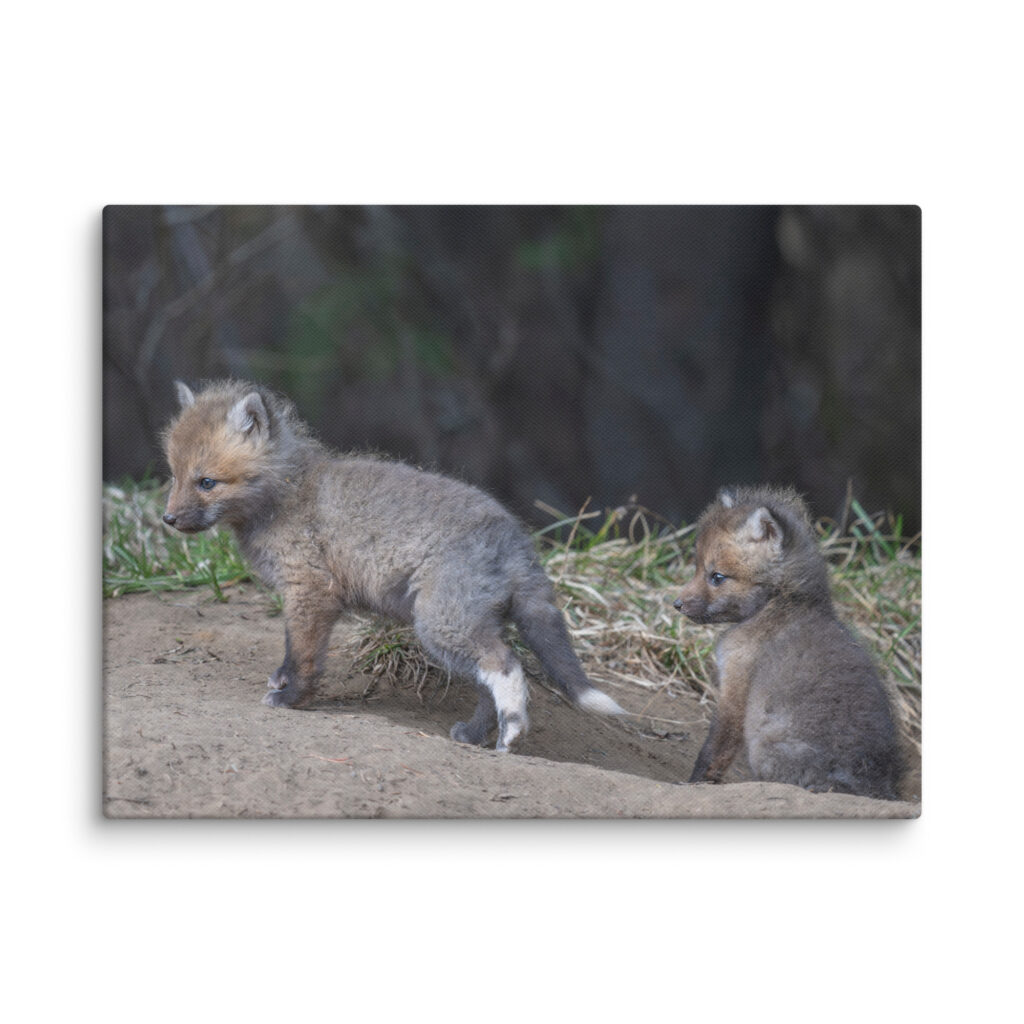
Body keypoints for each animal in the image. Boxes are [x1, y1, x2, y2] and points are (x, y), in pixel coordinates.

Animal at [161, 379, 626, 752]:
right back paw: (475, 736)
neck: (287, 494)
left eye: (207, 482)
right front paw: (283, 681)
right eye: (174, 476)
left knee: (507, 666)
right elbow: (293, 649)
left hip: (441, 624)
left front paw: (292, 698)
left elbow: (303, 655)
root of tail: (516, 538)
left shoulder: (310, 591)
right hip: (463, 628)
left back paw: (512, 733)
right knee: (487, 684)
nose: (167, 519)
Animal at [673, 485, 901, 800]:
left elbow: (713, 750)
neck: (781, 603)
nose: (677, 604)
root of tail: (870, 786)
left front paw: (693, 784)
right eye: (697, 568)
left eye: (717, 577)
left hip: (764, 746)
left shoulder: (735, 687)